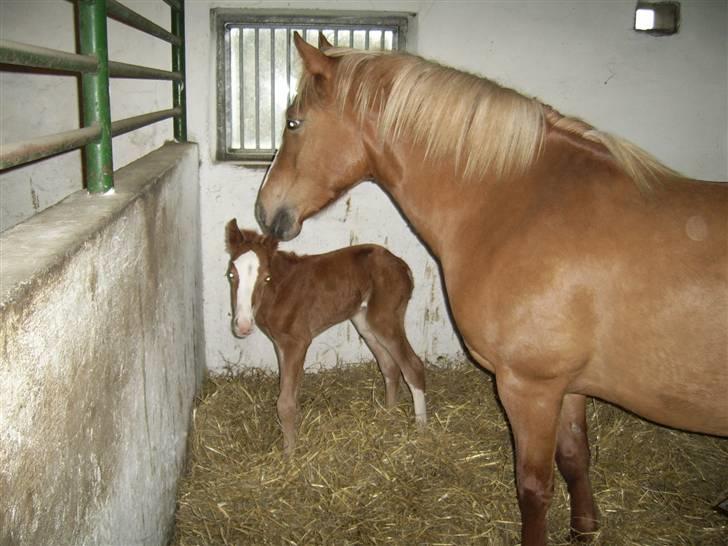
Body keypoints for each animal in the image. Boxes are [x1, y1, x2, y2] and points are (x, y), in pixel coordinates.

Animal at [223, 217, 426, 450]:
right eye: (231, 275)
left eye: (266, 278)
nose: (243, 325)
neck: (277, 292)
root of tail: (401, 265)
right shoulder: (281, 344)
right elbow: (291, 390)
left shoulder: (297, 341)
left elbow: (285, 403)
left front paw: (289, 452)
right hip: (365, 323)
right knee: (390, 367)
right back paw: (387, 416)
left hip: (385, 319)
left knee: (412, 366)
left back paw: (421, 430)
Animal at [256, 35, 728, 544]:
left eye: (293, 122)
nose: (264, 211)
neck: (519, 204)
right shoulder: (568, 386)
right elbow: (575, 460)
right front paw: (584, 531)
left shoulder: (529, 387)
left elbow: (534, 489)